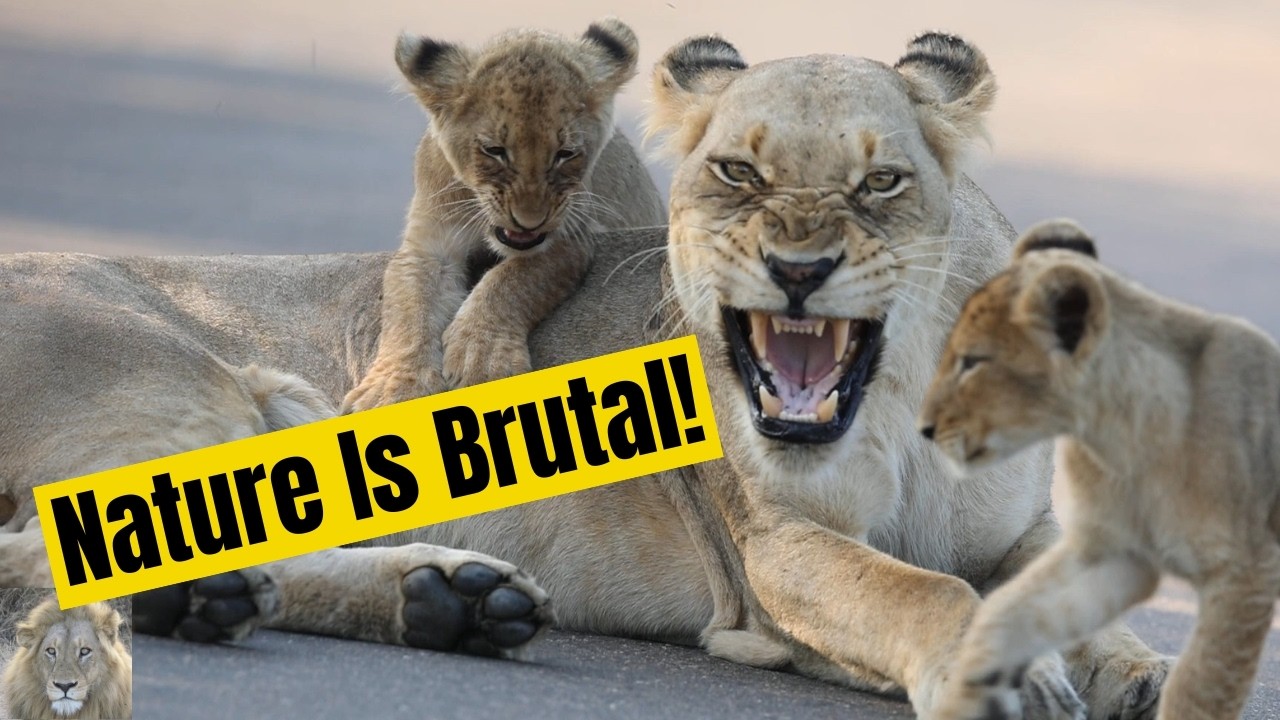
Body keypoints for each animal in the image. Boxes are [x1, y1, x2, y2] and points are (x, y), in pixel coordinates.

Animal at [341, 18, 665, 412]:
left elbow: (510, 281)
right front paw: (394, 390)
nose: (529, 220)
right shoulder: (429, 245)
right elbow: (409, 307)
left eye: (565, 153)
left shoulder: (570, 236)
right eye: (494, 151)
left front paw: (483, 360)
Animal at [919, 219, 1280, 720]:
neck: (1120, 433)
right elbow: (1015, 607)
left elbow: (1203, 688)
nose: (925, 427)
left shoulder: (1245, 574)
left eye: (973, 362)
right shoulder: (1116, 550)